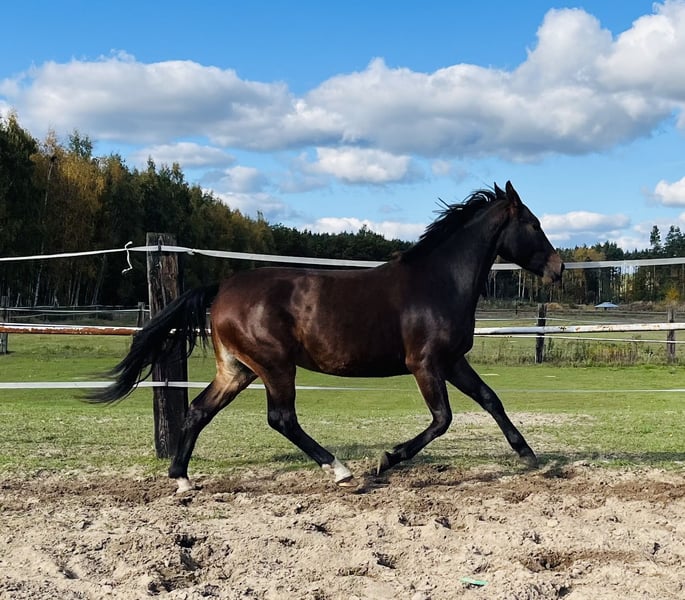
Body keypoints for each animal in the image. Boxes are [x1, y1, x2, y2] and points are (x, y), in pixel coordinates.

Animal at [90, 181, 563, 492]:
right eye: (534, 223)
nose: (558, 268)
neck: (439, 282)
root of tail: (222, 288)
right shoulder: (425, 364)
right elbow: (442, 419)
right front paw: (386, 459)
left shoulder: (452, 361)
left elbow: (490, 400)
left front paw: (531, 457)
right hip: (275, 366)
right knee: (281, 418)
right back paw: (340, 470)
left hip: (238, 369)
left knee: (197, 410)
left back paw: (182, 479)